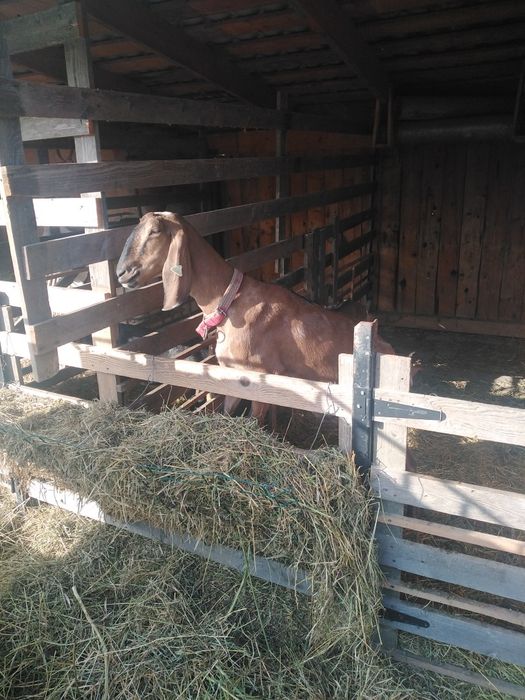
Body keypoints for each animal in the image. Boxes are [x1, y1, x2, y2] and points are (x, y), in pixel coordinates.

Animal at [116, 211, 396, 423]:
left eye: (154, 231)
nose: (122, 273)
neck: (229, 301)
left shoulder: (264, 374)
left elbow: (255, 422)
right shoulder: (234, 374)